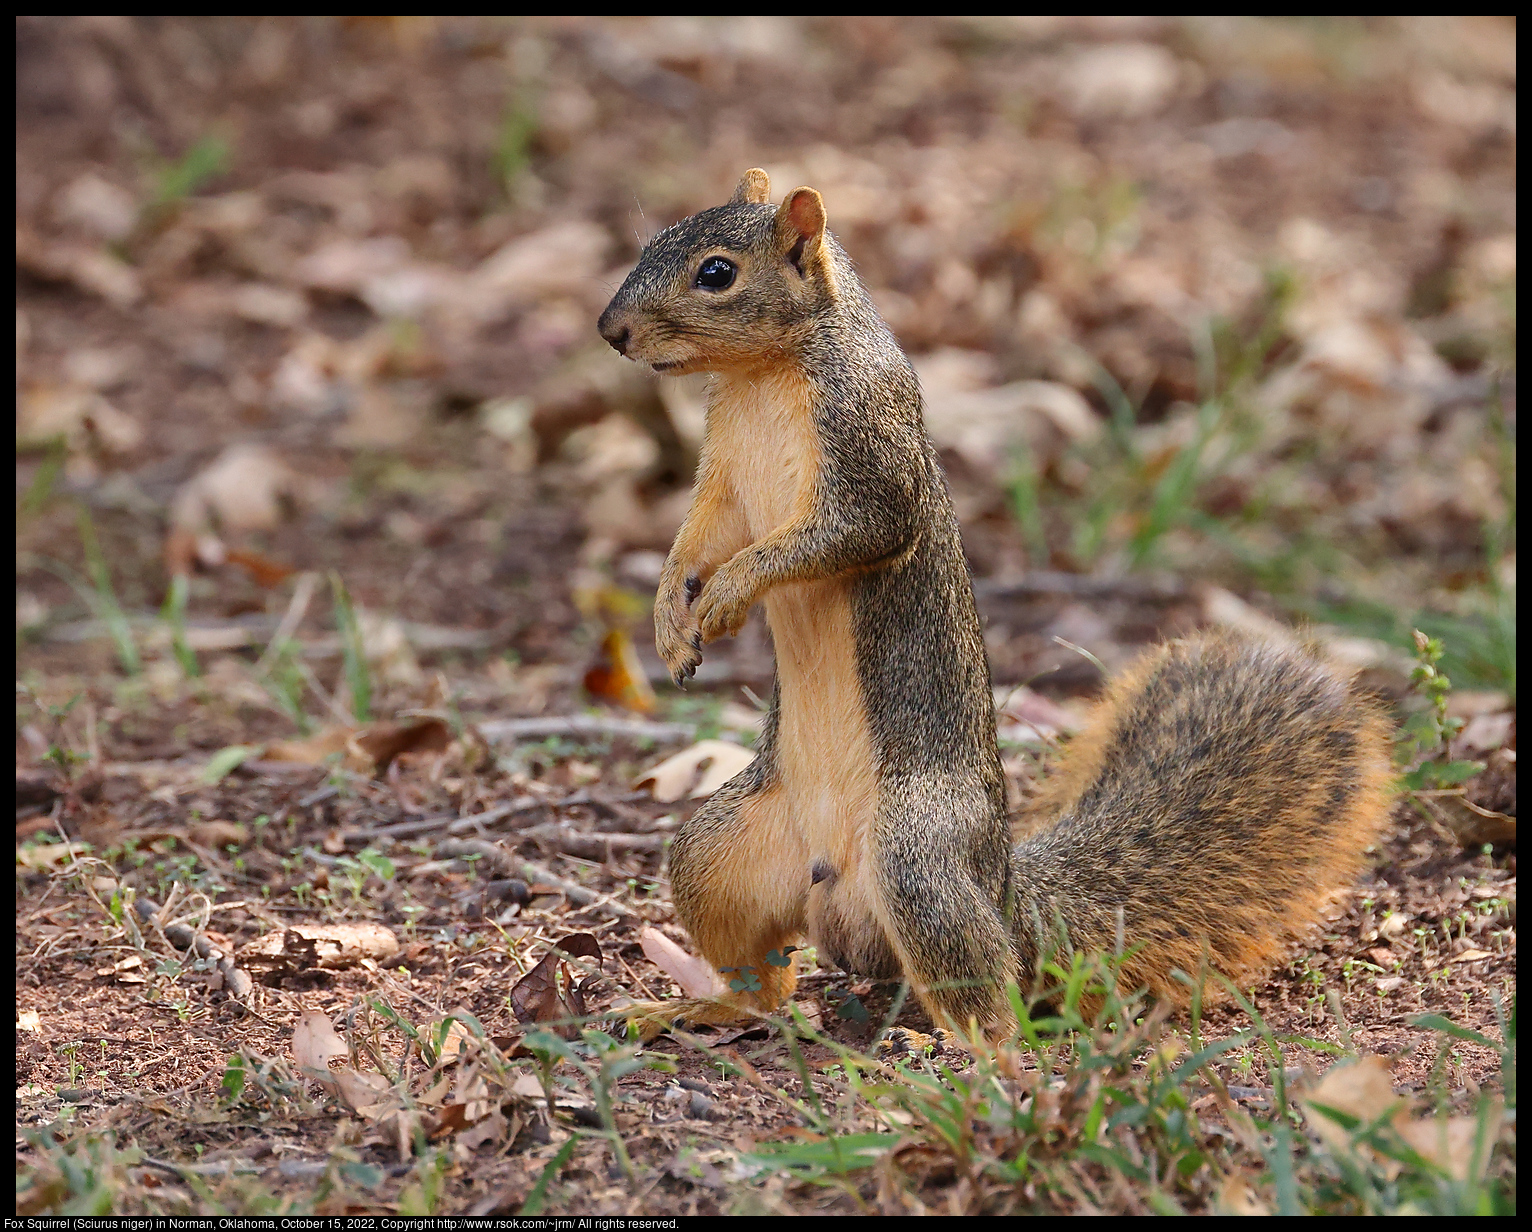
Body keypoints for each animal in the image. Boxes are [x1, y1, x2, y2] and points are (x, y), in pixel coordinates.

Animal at [597, 170, 1403, 1041]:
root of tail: (1006, 893)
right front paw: (669, 620)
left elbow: (837, 535)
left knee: (992, 989)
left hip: (919, 863)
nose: (612, 331)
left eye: (716, 273)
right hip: (719, 855)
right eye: (655, 239)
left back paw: (980, 1057)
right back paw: (693, 1006)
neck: (763, 375)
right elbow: (698, 541)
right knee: (762, 984)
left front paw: (733, 592)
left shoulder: (869, 450)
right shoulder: (722, 476)